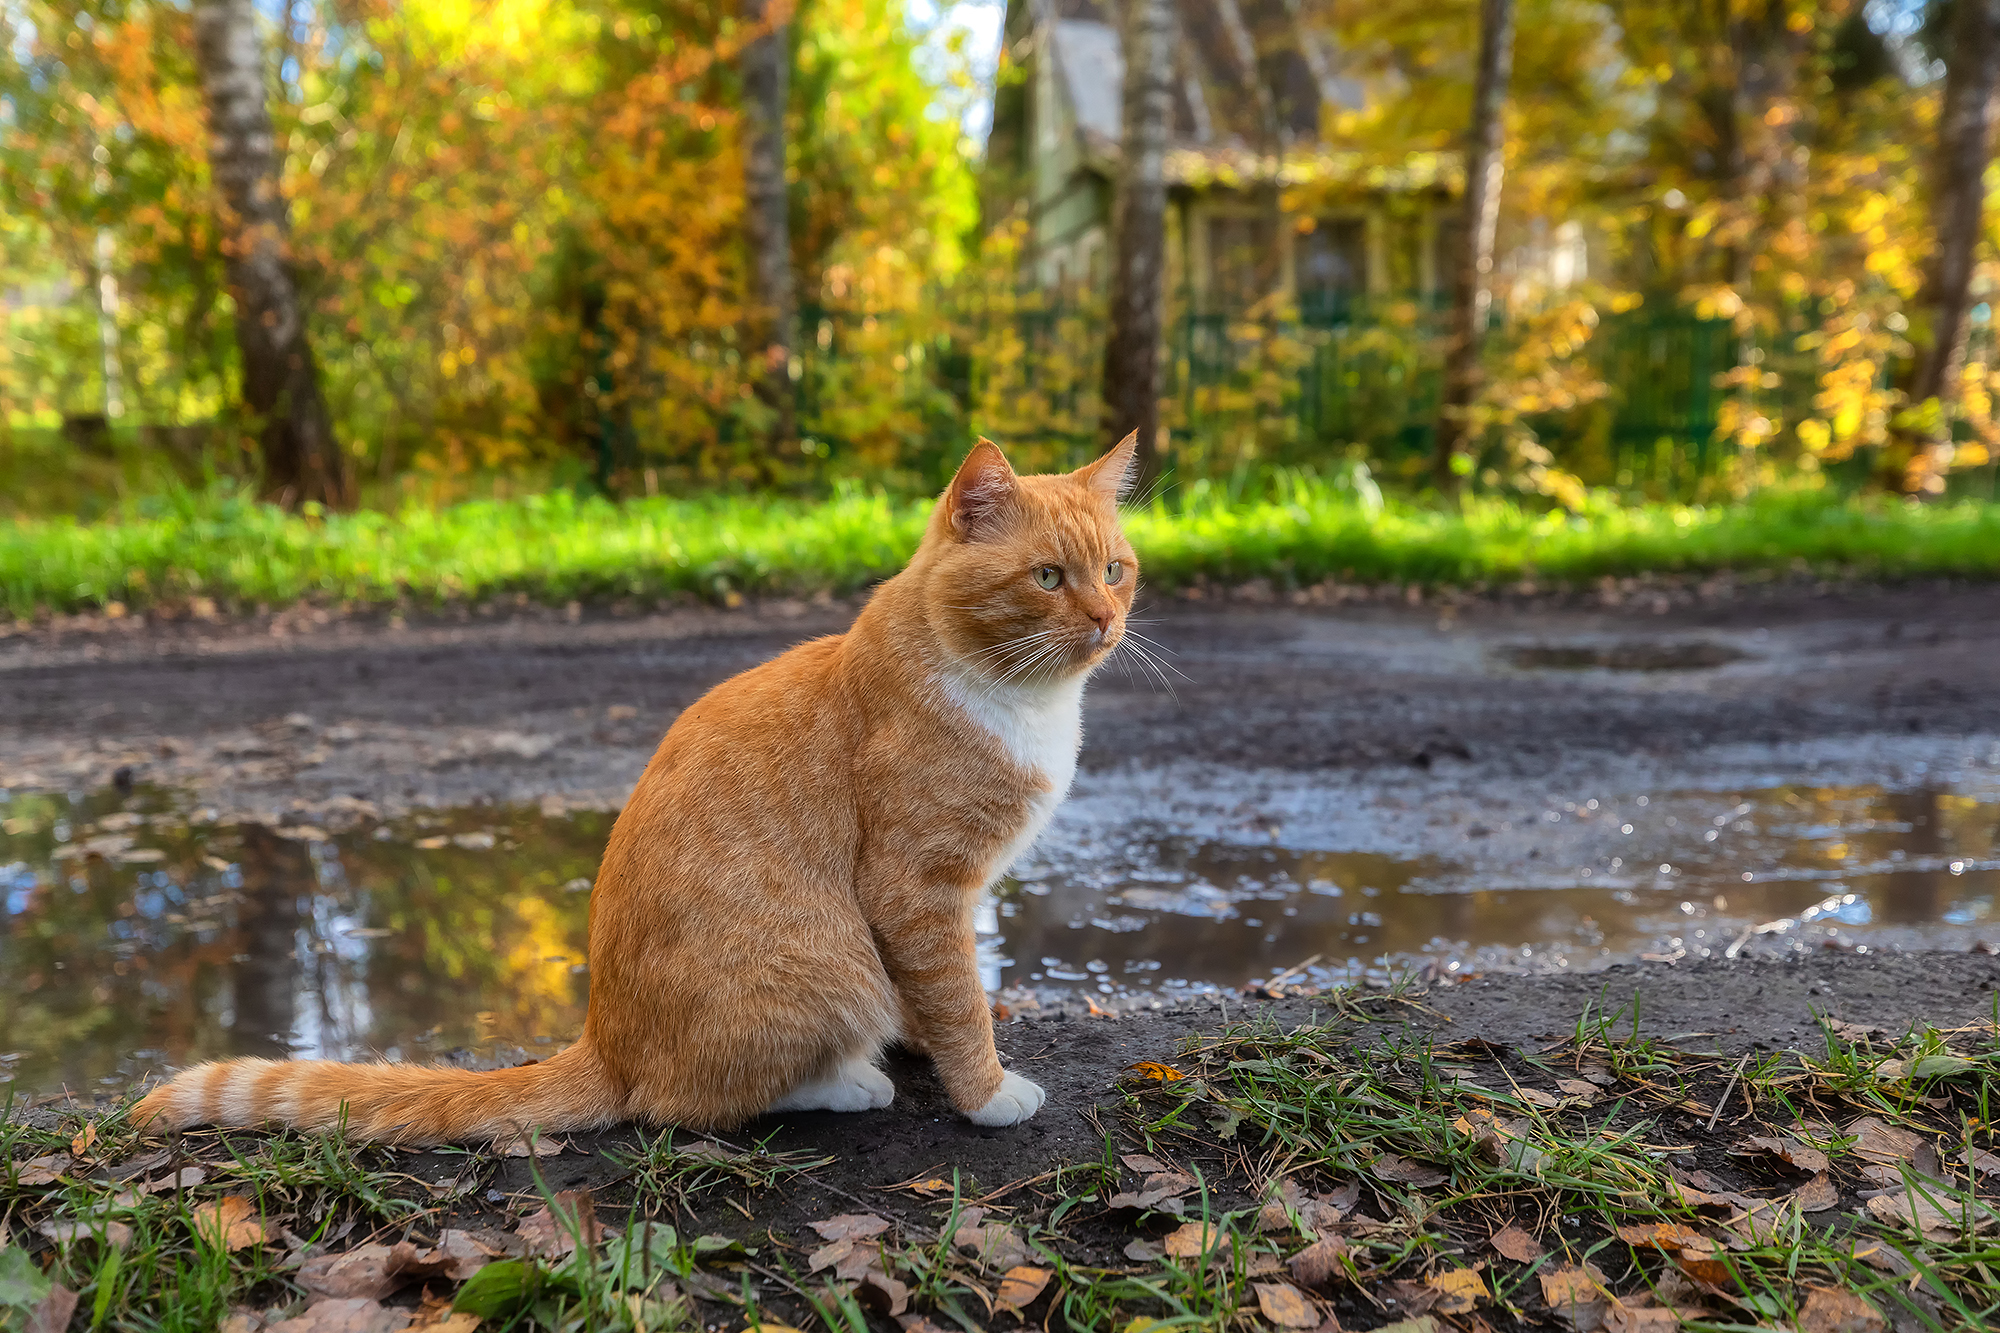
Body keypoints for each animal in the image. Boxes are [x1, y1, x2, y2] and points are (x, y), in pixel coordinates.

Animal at [133, 430, 1144, 1136]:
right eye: (1047, 577)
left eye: (1115, 570)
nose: (1105, 620)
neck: (1023, 700)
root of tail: (604, 1037)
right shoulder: (917, 889)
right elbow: (958, 995)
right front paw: (985, 1090)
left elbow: (944, 996)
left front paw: (938, 1050)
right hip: (825, 961)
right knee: (680, 1102)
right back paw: (843, 1080)